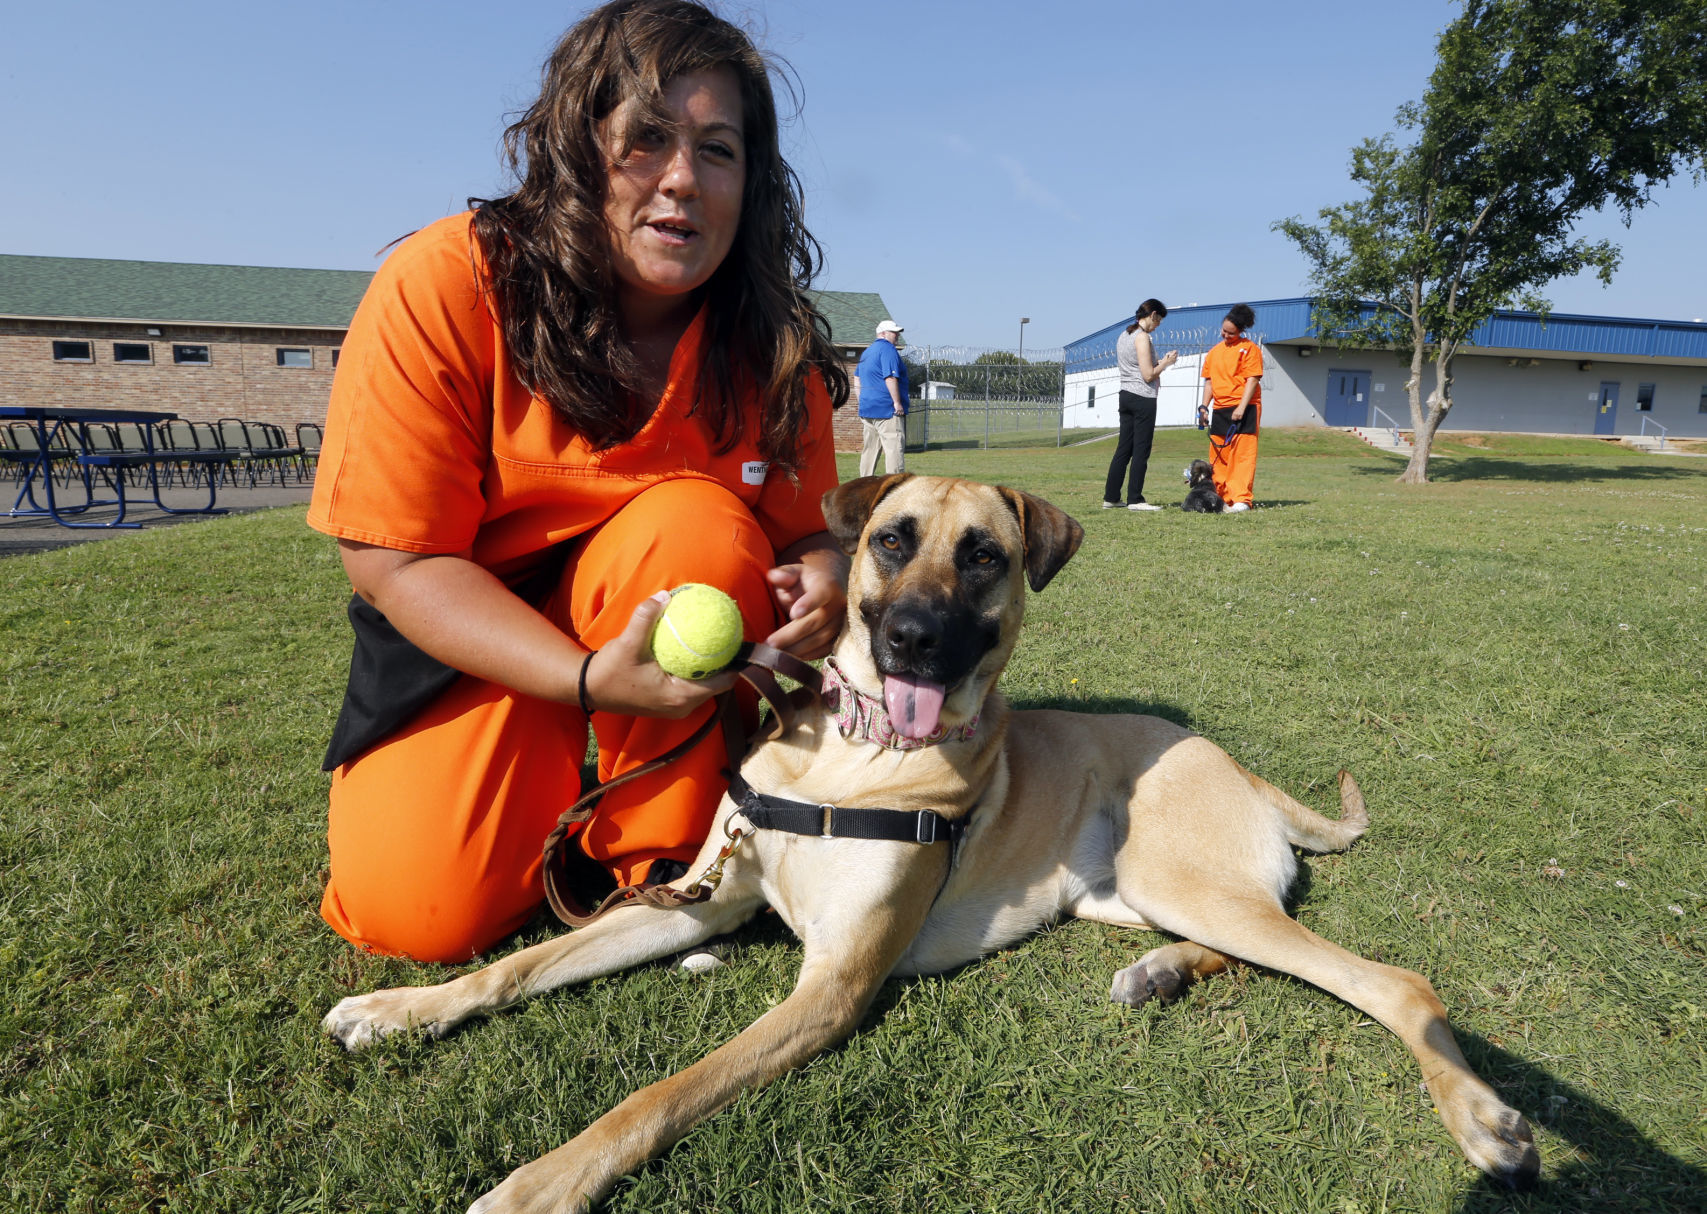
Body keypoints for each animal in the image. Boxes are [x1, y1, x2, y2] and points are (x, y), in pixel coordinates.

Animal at [326, 471, 1543, 1208]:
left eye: (985, 557)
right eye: (892, 540)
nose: (910, 638)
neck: (853, 756)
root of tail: (1237, 764)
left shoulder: (831, 987)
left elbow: (657, 1094)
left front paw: (540, 1182)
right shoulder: (707, 896)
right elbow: (520, 965)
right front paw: (402, 1008)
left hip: (1171, 865)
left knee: (1389, 979)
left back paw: (1484, 1119)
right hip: (1131, 888)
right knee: (1249, 943)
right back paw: (1155, 973)